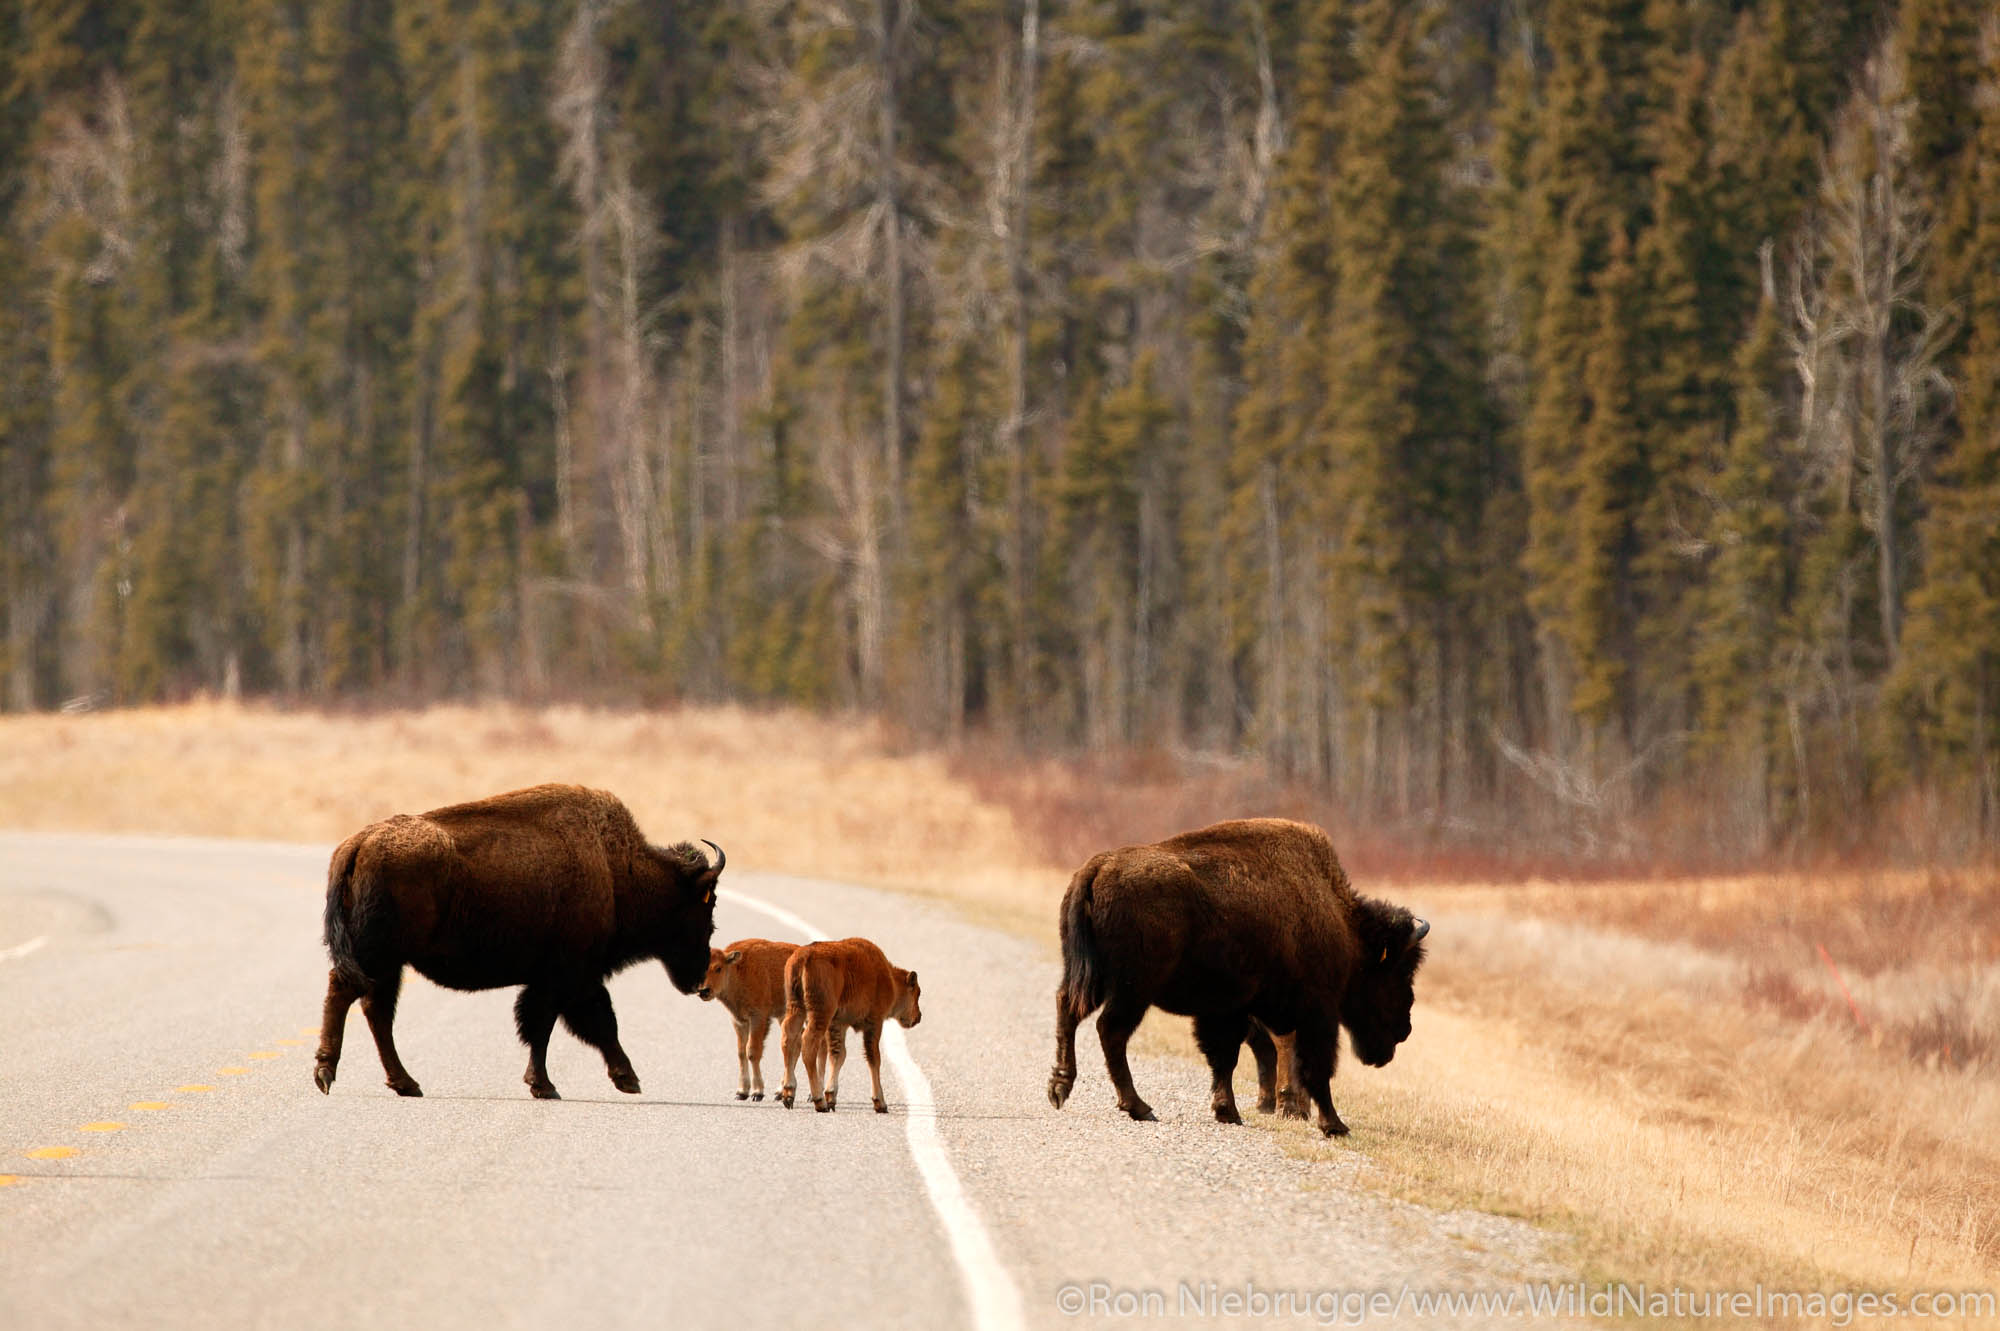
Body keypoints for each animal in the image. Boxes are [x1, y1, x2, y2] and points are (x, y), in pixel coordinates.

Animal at [314, 783, 724, 1099]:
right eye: (707, 904)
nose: (698, 979)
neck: (615, 869)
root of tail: (358, 843)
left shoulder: (560, 980)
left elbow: (557, 1025)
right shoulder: (568, 977)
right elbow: (575, 1024)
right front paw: (565, 1085)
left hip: (388, 964)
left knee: (375, 1011)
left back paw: (405, 1084)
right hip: (378, 956)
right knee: (347, 995)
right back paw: (326, 1075)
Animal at [1045, 818, 1427, 1137]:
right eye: (1399, 972)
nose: (1405, 1029)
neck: (1344, 926)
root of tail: (1098, 867)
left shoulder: (1226, 1010)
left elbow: (1224, 1058)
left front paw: (1227, 1111)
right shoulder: (1316, 1013)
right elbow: (1315, 1067)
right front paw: (1334, 1125)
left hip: (1090, 976)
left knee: (1069, 1009)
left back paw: (1060, 1089)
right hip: (1133, 989)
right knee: (1110, 1030)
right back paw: (1138, 1106)